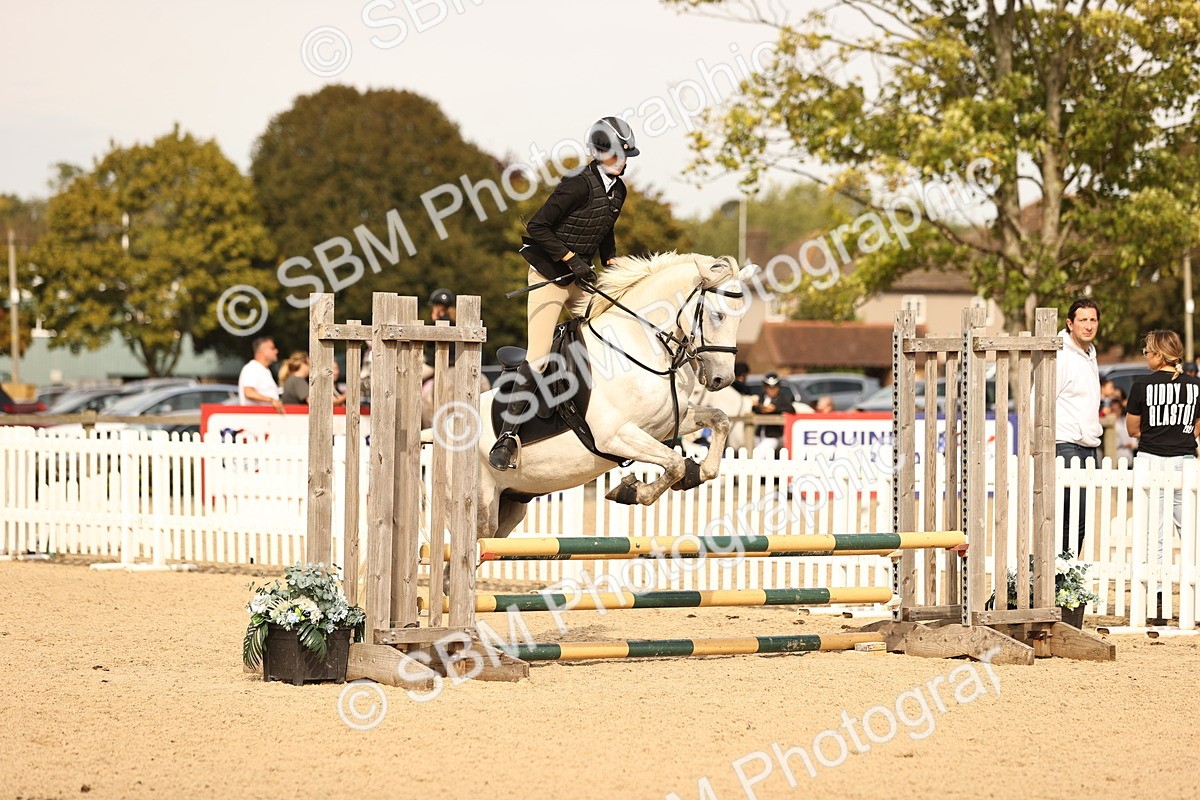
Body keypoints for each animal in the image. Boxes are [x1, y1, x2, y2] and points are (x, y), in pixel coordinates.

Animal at [475, 252, 754, 540]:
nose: (723, 379)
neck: (638, 345)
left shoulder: (667, 425)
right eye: (717, 315)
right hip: (483, 510)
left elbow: (719, 421)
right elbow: (675, 463)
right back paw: (502, 452)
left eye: (741, 318)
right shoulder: (616, 436)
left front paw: (695, 474)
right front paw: (632, 490)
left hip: (510, 506)